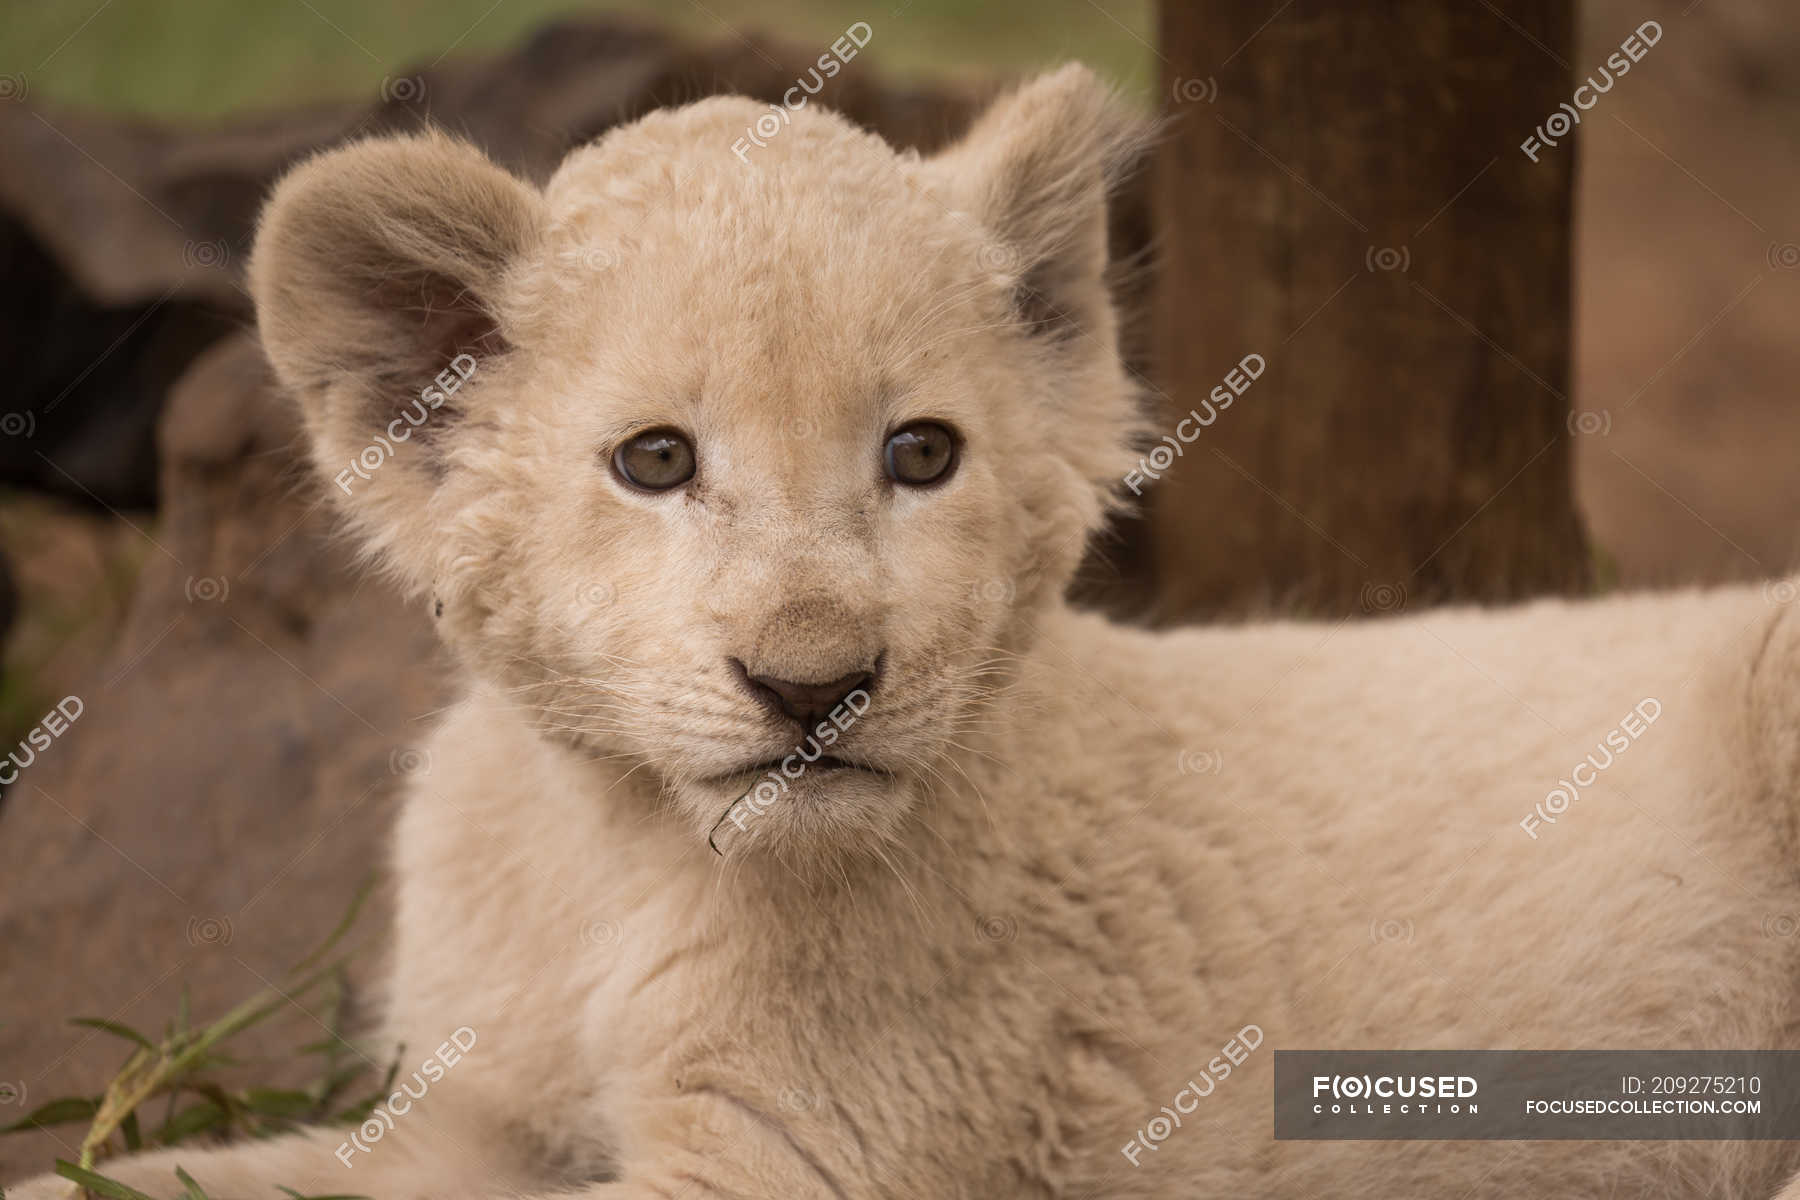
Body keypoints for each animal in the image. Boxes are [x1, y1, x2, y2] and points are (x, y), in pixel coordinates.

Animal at [15, 63, 1800, 1200]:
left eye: (921, 454)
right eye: (655, 462)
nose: (814, 688)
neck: (616, 844)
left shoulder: (811, 1153)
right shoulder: (468, 1116)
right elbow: (180, 1175)